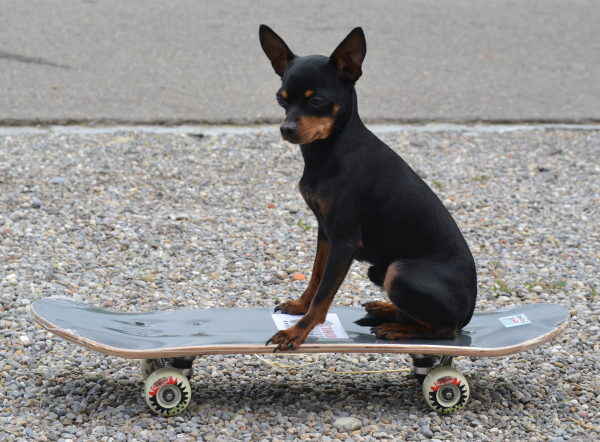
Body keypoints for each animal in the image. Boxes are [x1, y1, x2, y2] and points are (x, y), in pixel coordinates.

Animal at [259, 25, 477, 352]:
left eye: (316, 101)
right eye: (281, 99)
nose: (286, 129)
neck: (331, 152)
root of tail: (469, 312)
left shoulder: (345, 241)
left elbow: (324, 298)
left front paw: (297, 332)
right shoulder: (326, 233)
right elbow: (316, 277)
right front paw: (299, 305)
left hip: (399, 271)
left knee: (445, 330)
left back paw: (396, 328)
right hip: (380, 270)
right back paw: (385, 309)